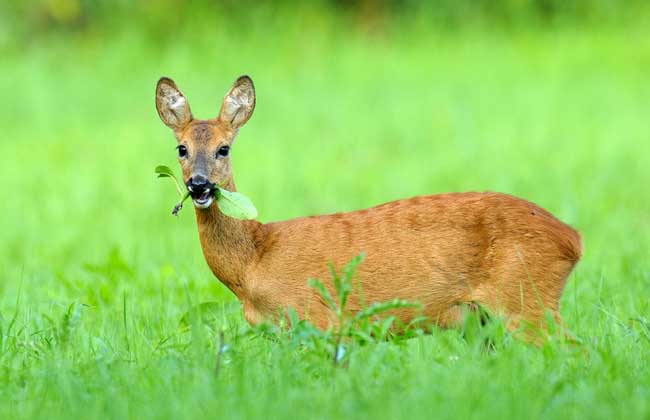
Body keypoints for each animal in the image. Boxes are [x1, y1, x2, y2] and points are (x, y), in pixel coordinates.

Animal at [154, 74, 580, 338]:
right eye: (182, 149)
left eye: (224, 148)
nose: (199, 185)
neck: (254, 263)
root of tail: (572, 239)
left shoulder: (318, 320)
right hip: (486, 322)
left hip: (525, 297)